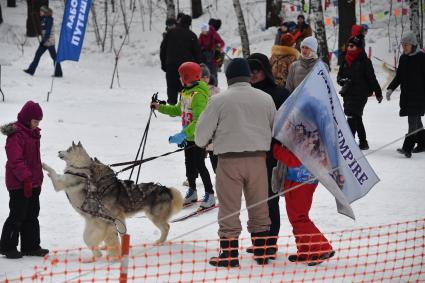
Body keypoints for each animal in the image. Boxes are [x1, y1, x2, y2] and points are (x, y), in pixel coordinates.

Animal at [41, 143, 182, 262]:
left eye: (67, 149)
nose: (58, 151)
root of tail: (166, 189)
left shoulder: (61, 183)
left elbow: (54, 173)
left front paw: (44, 166)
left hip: (153, 217)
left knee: (166, 227)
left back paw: (159, 241)